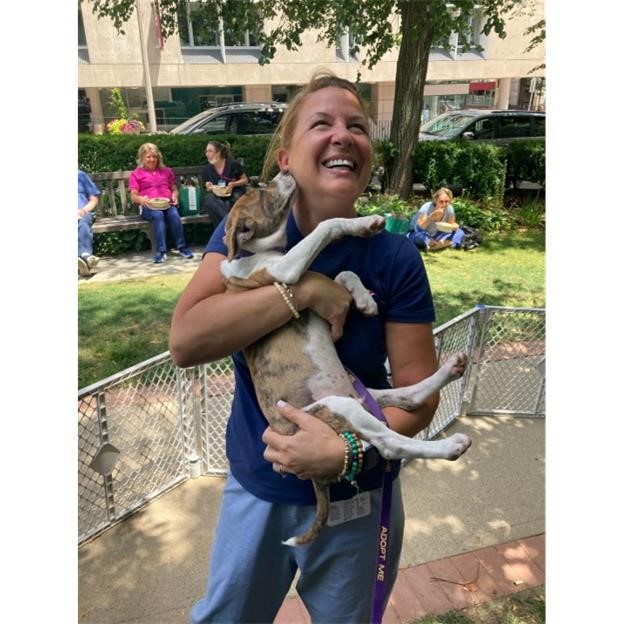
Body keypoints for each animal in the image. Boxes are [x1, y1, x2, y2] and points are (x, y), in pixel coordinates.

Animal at [222, 173, 470, 544]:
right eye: (263, 193)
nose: (283, 174)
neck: (259, 252)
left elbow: (340, 275)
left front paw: (363, 300)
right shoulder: (285, 271)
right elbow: (326, 225)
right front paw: (364, 224)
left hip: (364, 393)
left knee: (408, 400)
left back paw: (451, 368)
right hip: (340, 407)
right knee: (388, 443)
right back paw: (451, 446)